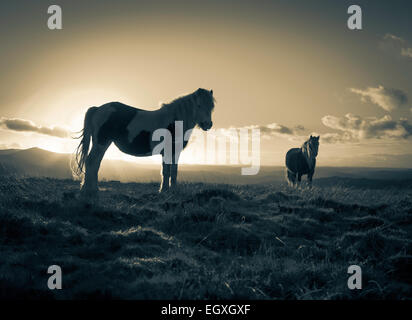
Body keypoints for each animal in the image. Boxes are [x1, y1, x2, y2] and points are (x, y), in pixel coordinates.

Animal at [72, 89, 216, 196]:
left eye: (211, 107)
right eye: (199, 105)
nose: (208, 124)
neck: (174, 121)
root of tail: (97, 108)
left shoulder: (174, 152)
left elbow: (173, 171)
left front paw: (173, 190)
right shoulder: (168, 151)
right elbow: (166, 171)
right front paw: (164, 191)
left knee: (95, 163)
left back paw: (92, 189)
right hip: (101, 143)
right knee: (91, 162)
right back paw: (89, 190)